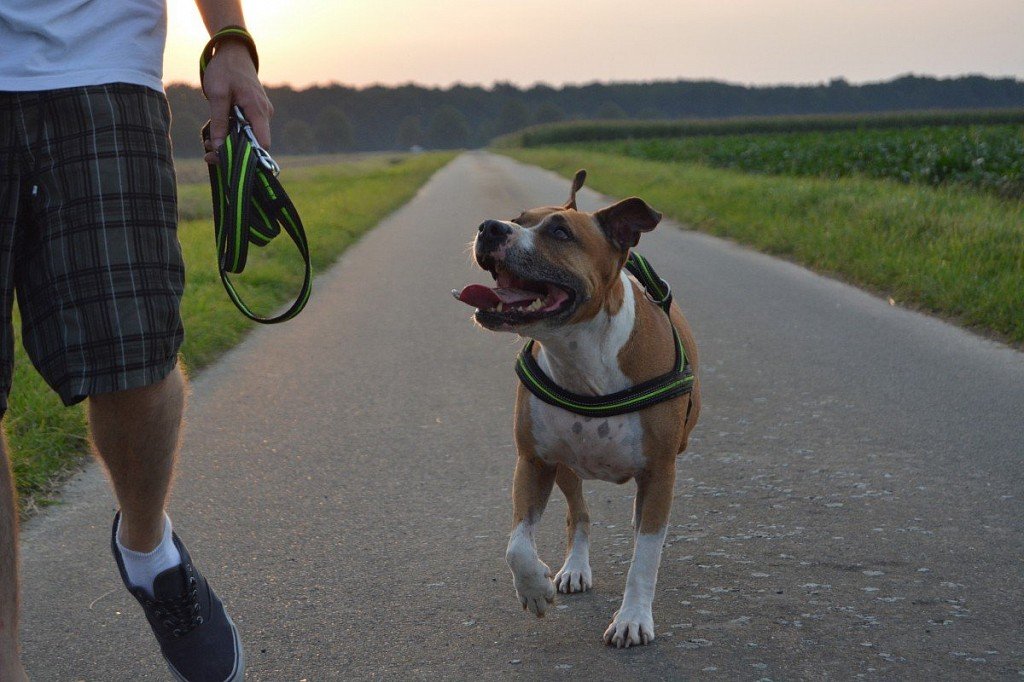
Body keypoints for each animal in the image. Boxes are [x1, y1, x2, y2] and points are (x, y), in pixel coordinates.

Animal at [454, 168, 700, 643]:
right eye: (518, 219)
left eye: (560, 232)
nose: (490, 227)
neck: (581, 356)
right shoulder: (534, 461)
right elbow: (517, 544)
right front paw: (534, 588)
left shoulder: (660, 473)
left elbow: (645, 557)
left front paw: (632, 618)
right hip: (568, 468)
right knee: (579, 515)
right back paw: (574, 569)